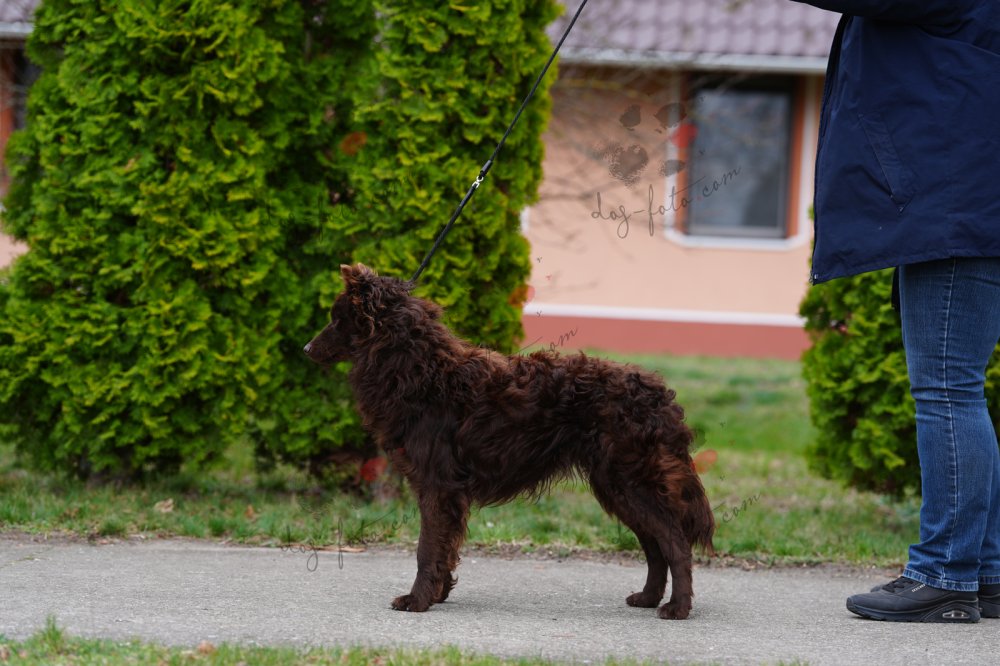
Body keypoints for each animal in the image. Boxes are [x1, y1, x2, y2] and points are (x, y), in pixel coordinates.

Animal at [304, 264, 715, 619]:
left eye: (338, 319)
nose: (306, 350)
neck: (422, 371)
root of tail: (658, 393)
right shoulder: (445, 492)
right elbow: (444, 549)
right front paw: (438, 594)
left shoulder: (438, 486)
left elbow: (426, 549)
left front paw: (418, 600)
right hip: (617, 487)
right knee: (655, 545)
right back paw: (648, 598)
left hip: (630, 481)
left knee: (675, 543)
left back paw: (677, 608)